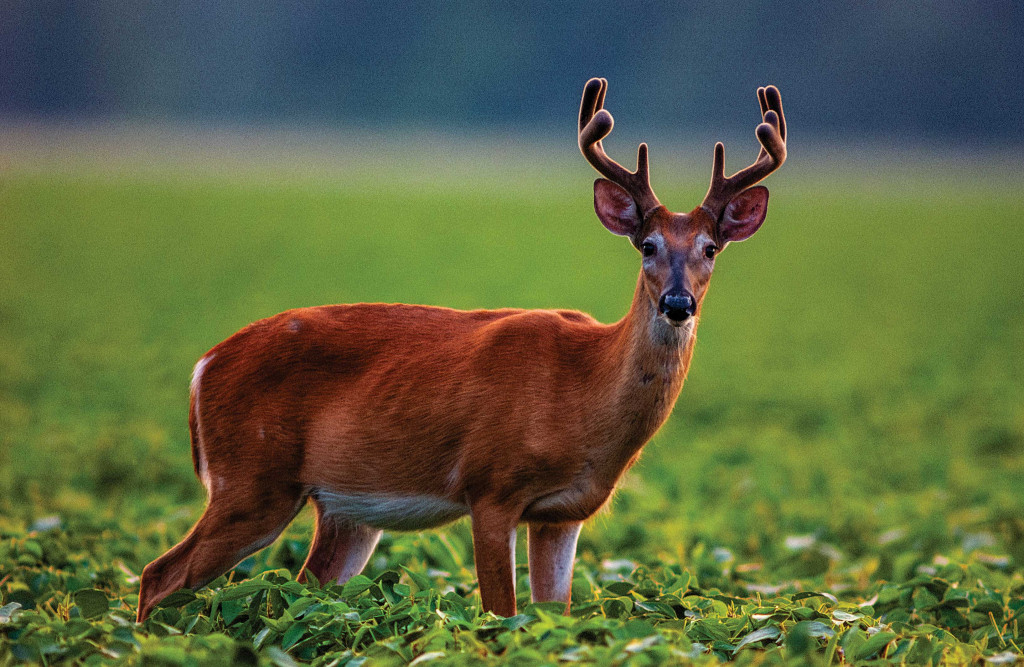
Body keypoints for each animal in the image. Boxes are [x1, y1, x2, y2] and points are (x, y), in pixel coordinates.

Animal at [136, 79, 786, 627]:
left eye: (709, 248)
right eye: (647, 245)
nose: (678, 303)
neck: (585, 390)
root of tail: (203, 367)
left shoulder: (564, 514)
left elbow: (554, 616)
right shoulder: (491, 485)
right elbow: (502, 612)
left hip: (341, 509)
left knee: (304, 587)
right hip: (251, 477)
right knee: (158, 574)